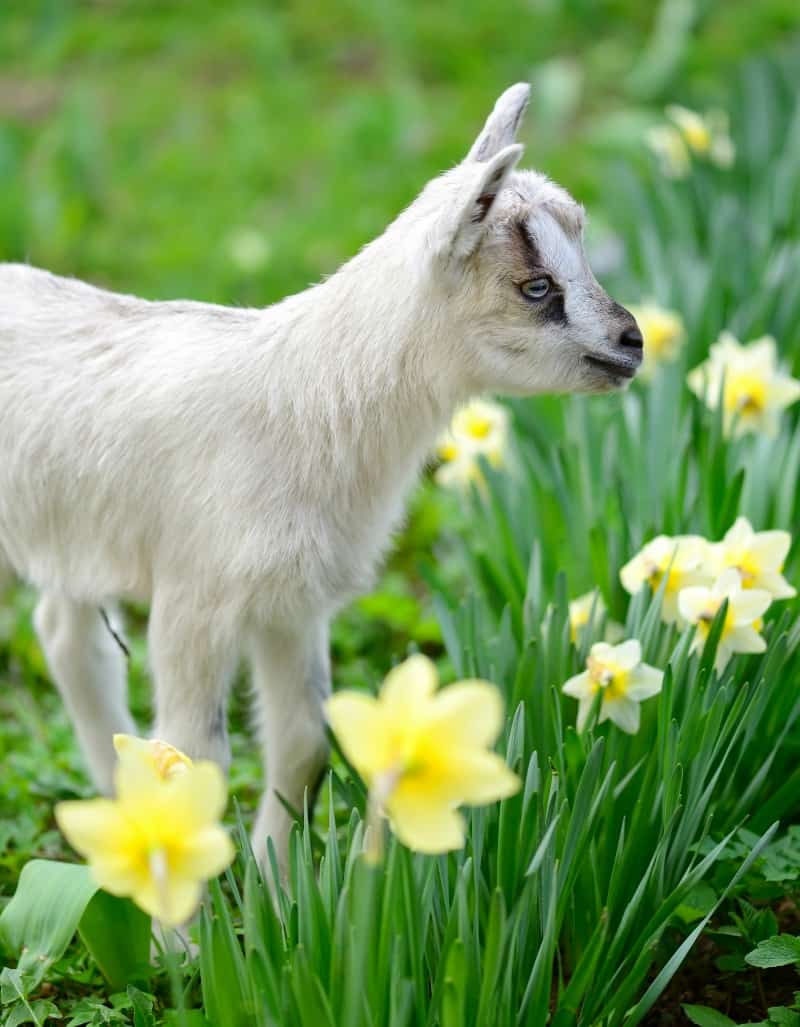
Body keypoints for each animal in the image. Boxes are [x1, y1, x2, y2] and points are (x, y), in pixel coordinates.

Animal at [0, 82, 640, 866]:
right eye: (537, 286)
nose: (633, 341)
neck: (303, 397)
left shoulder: (292, 600)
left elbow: (304, 748)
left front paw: (274, 883)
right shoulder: (196, 599)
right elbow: (191, 759)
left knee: (66, 637)